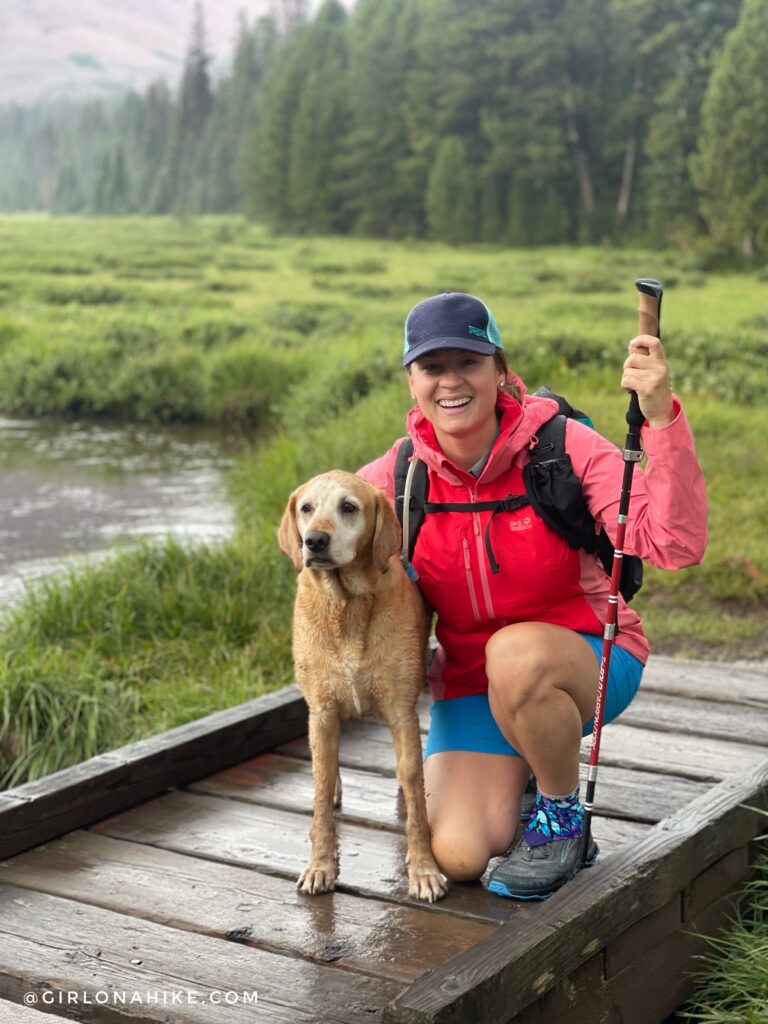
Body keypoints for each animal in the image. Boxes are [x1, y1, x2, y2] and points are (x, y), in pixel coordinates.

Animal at [278, 468, 444, 901]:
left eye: (349, 507)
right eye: (306, 508)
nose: (314, 541)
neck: (346, 605)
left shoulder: (402, 712)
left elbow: (415, 793)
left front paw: (423, 869)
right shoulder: (321, 711)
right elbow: (320, 791)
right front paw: (320, 865)